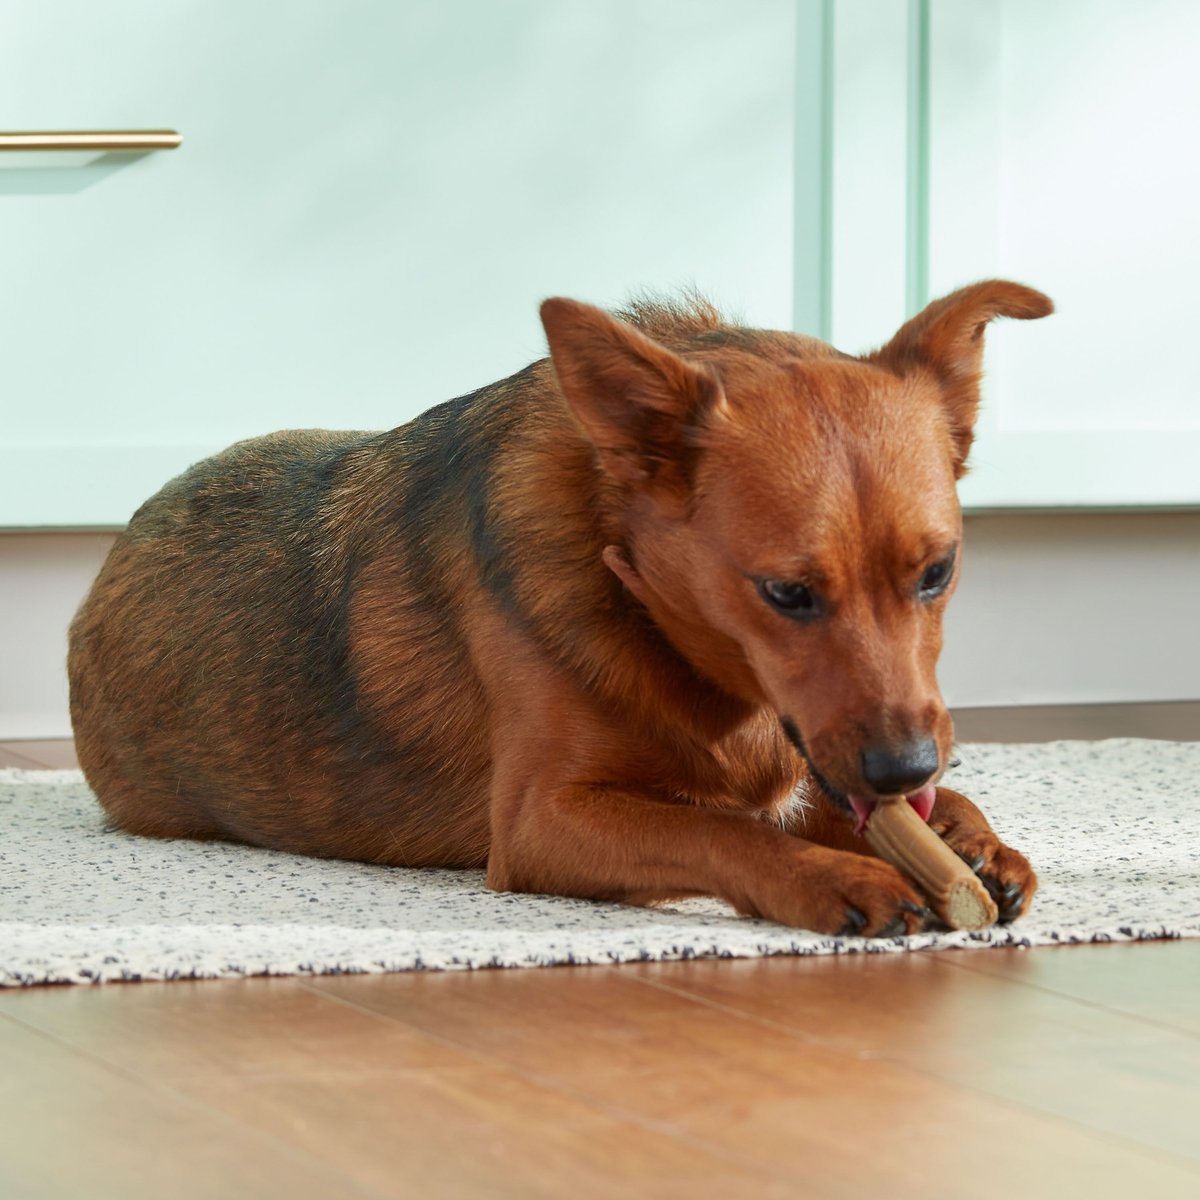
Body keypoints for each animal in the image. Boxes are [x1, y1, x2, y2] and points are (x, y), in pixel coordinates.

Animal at [70, 280, 1051, 936]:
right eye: (787, 593)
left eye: (938, 572)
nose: (905, 770)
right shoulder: (543, 821)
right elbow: (721, 830)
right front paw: (835, 876)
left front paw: (969, 840)